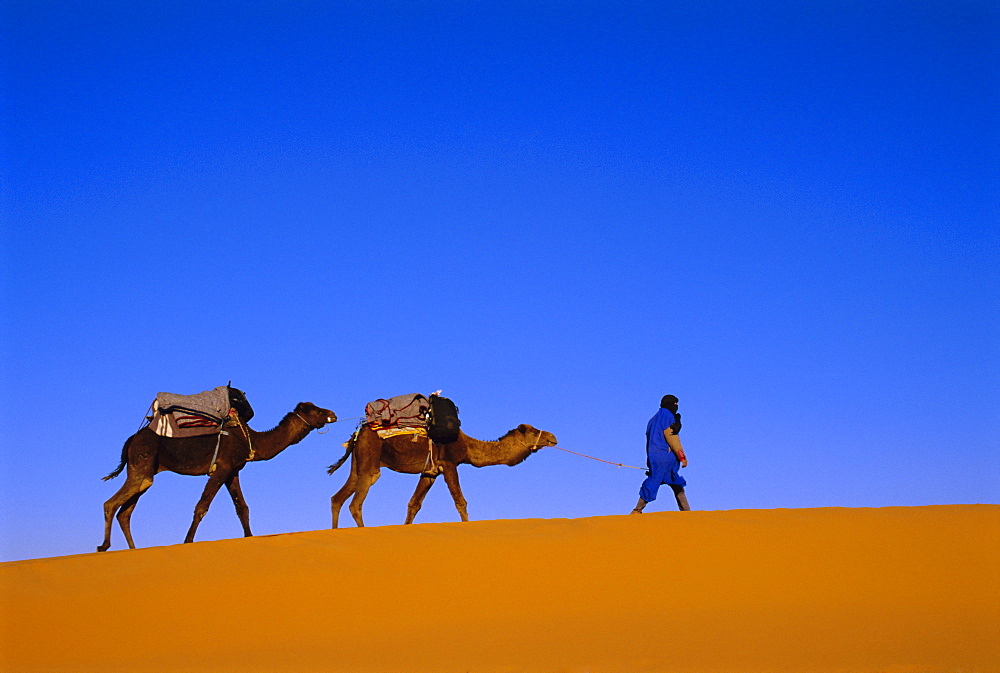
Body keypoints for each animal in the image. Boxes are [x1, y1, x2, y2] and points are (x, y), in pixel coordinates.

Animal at [99, 400, 338, 552]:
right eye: (315, 410)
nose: (333, 414)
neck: (251, 439)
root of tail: (132, 439)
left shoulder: (233, 471)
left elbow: (242, 508)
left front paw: (249, 538)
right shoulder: (222, 468)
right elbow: (202, 506)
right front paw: (187, 541)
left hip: (147, 470)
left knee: (126, 511)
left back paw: (133, 549)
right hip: (142, 460)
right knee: (111, 503)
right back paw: (103, 546)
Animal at [330, 422, 560, 528]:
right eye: (533, 431)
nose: (553, 437)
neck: (467, 446)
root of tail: (357, 433)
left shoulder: (430, 472)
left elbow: (414, 504)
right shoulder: (449, 464)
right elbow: (460, 501)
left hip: (358, 463)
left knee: (338, 497)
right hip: (371, 458)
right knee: (356, 502)